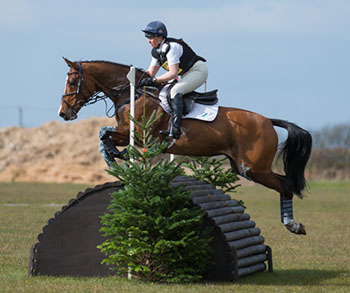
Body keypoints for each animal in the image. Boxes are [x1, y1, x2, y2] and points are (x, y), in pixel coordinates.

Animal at [58, 58, 314, 234]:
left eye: (73, 81)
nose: (63, 113)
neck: (132, 94)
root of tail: (268, 120)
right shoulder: (129, 133)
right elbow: (105, 136)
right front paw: (113, 157)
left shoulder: (141, 135)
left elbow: (104, 132)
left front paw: (113, 157)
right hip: (242, 166)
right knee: (285, 183)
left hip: (252, 168)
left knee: (286, 185)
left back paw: (293, 225)